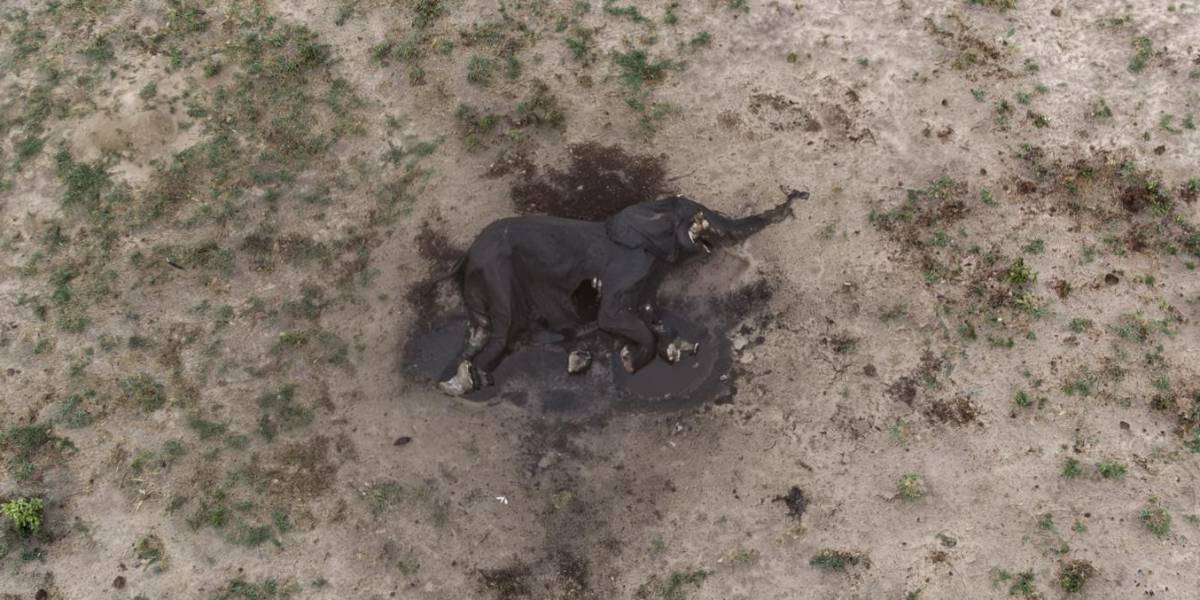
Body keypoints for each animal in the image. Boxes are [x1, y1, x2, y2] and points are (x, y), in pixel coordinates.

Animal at [437, 188, 807, 396]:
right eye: (696, 214)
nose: (798, 196)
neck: (647, 212)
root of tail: (467, 255)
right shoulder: (629, 265)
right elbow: (614, 316)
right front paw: (630, 361)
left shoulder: (651, 275)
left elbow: (649, 316)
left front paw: (671, 347)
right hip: (496, 270)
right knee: (503, 326)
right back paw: (476, 380)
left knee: (481, 329)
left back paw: (461, 379)